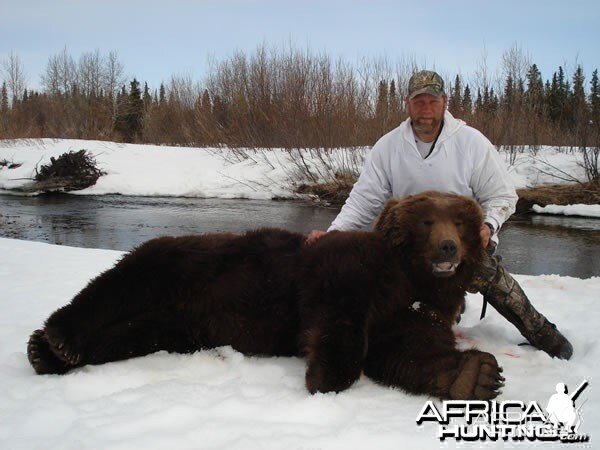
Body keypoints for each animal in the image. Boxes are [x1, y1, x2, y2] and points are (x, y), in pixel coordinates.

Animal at [29, 190, 506, 400]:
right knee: (124, 281)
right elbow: (339, 312)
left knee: (131, 333)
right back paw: (58, 337)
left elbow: (410, 348)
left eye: (459, 222)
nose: (448, 248)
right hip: (192, 261)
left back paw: (47, 353)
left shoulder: (415, 310)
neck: (408, 277)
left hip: (178, 325)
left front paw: (477, 374)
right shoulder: (345, 270)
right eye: (427, 222)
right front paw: (326, 374)